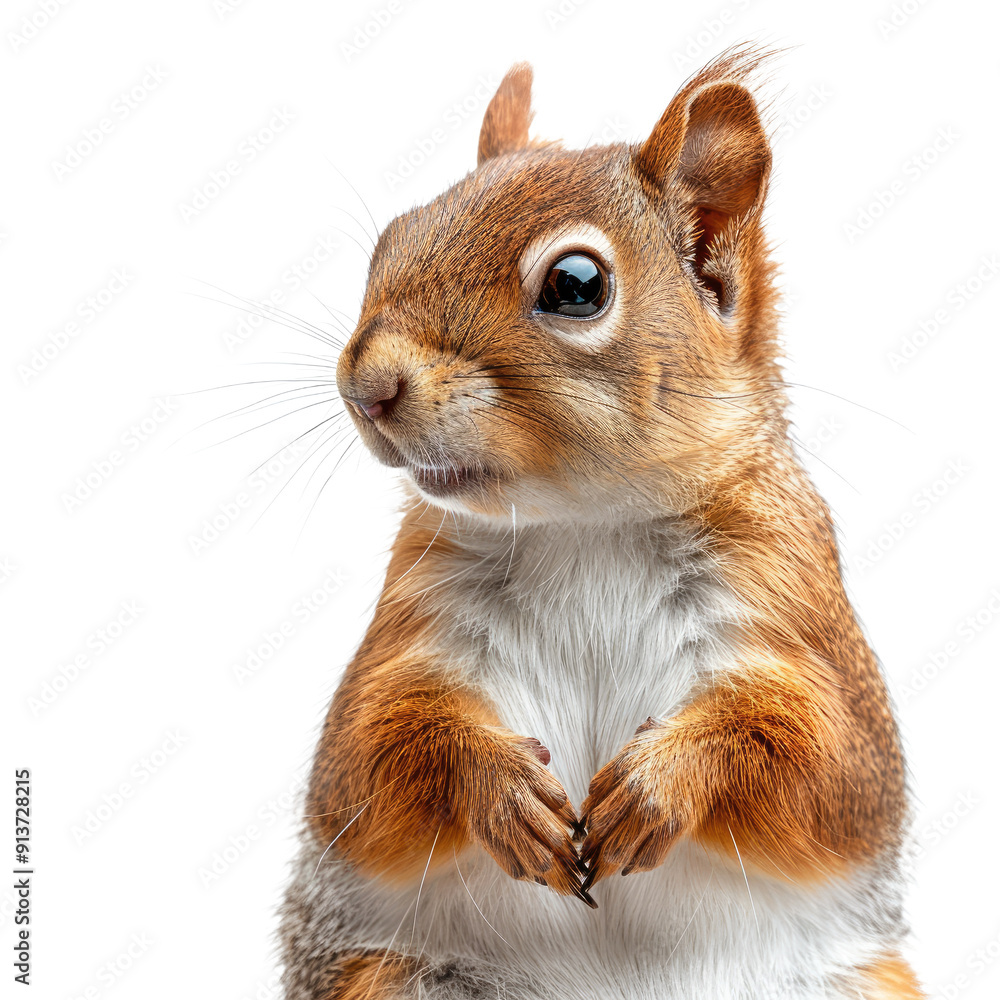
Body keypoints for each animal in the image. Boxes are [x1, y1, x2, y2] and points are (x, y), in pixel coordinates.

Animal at [279, 46, 925, 1000]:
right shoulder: (412, 620)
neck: (585, 528)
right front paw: (498, 788)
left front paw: (666, 782)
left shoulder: (796, 606)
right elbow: (367, 756)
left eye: (576, 285)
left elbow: (833, 768)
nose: (366, 385)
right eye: (393, 237)